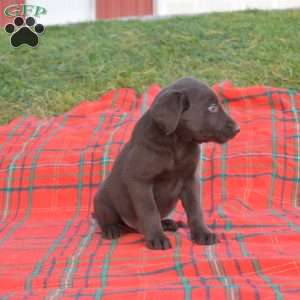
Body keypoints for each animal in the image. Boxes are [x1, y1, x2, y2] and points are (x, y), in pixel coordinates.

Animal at [93, 76, 239, 250]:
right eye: (212, 108)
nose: (238, 129)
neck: (177, 143)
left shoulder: (190, 179)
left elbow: (196, 209)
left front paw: (203, 233)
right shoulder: (140, 182)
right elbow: (150, 211)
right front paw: (157, 237)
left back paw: (167, 223)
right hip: (103, 198)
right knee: (105, 218)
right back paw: (112, 228)